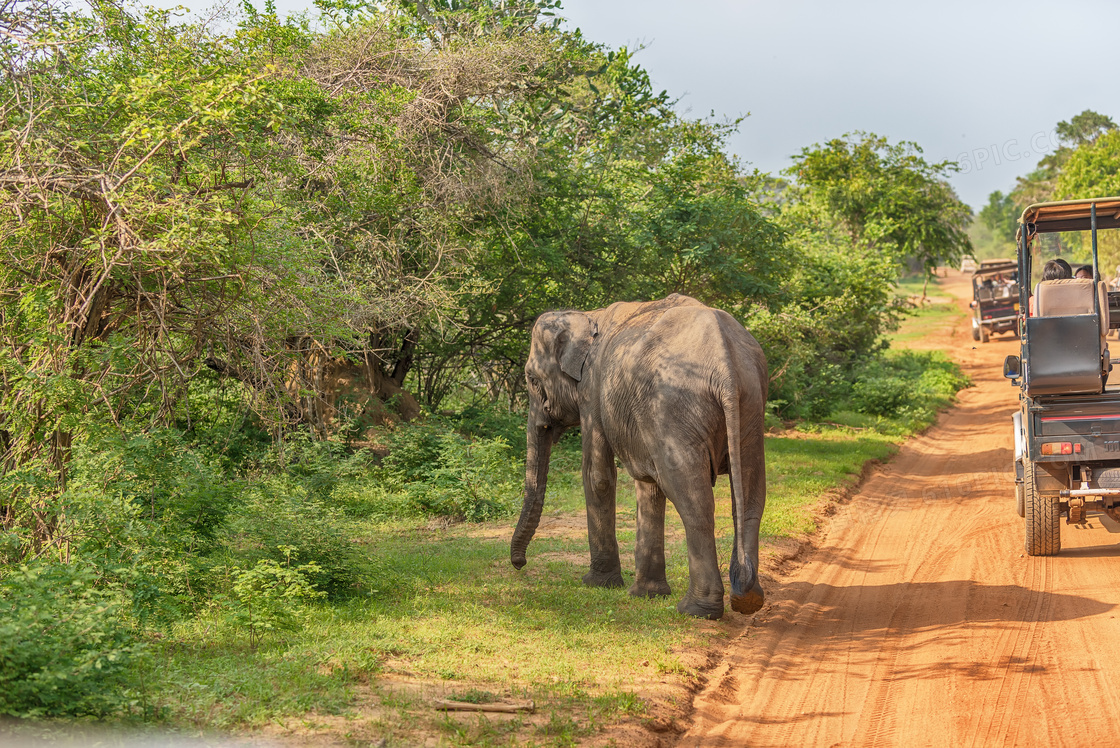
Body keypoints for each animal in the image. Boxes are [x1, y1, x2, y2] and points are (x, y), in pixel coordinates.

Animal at [510, 291, 766, 618]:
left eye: (531, 379)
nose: (519, 563)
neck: (586, 315)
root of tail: (725, 362)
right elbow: (648, 485)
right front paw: (647, 594)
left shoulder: (592, 391)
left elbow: (598, 477)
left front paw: (598, 583)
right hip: (750, 405)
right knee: (749, 498)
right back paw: (748, 601)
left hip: (674, 407)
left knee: (693, 500)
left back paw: (696, 610)